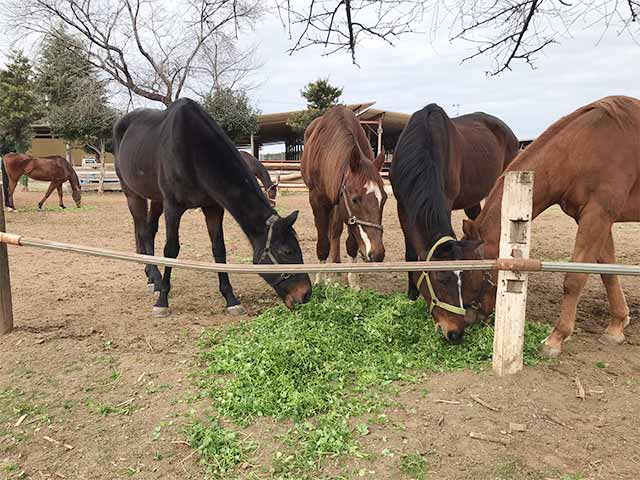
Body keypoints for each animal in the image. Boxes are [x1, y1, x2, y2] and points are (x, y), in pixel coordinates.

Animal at [302, 105, 388, 288]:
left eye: (383, 199)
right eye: (355, 199)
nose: (377, 254)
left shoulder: (347, 213)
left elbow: (350, 243)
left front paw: (353, 281)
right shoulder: (317, 201)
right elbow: (323, 243)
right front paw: (320, 279)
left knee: (335, 231)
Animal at [390, 103, 520, 344]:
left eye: (463, 279)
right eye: (440, 279)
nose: (456, 333)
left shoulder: (446, 201)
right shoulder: (402, 205)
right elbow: (410, 254)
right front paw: (411, 294)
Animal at [462, 94, 640, 356]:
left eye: (475, 272)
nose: (469, 319)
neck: (584, 148)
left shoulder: (597, 215)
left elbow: (574, 279)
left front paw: (556, 337)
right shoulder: (597, 218)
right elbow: (608, 272)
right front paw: (617, 325)